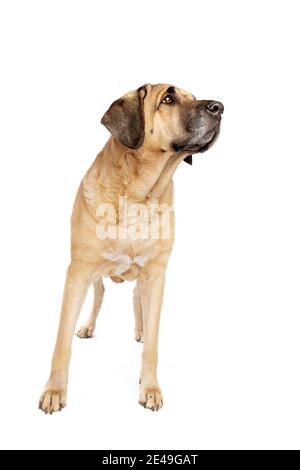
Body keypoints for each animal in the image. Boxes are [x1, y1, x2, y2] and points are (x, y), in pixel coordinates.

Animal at [38, 83, 223, 412]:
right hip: (93, 276)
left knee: (137, 299)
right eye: (168, 99)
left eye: (192, 97)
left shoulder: (156, 276)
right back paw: (88, 327)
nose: (220, 107)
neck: (141, 195)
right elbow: (61, 341)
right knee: (99, 295)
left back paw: (140, 330)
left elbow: (152, 343)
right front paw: (54, 391)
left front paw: (150, 387)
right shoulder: (78, 272)